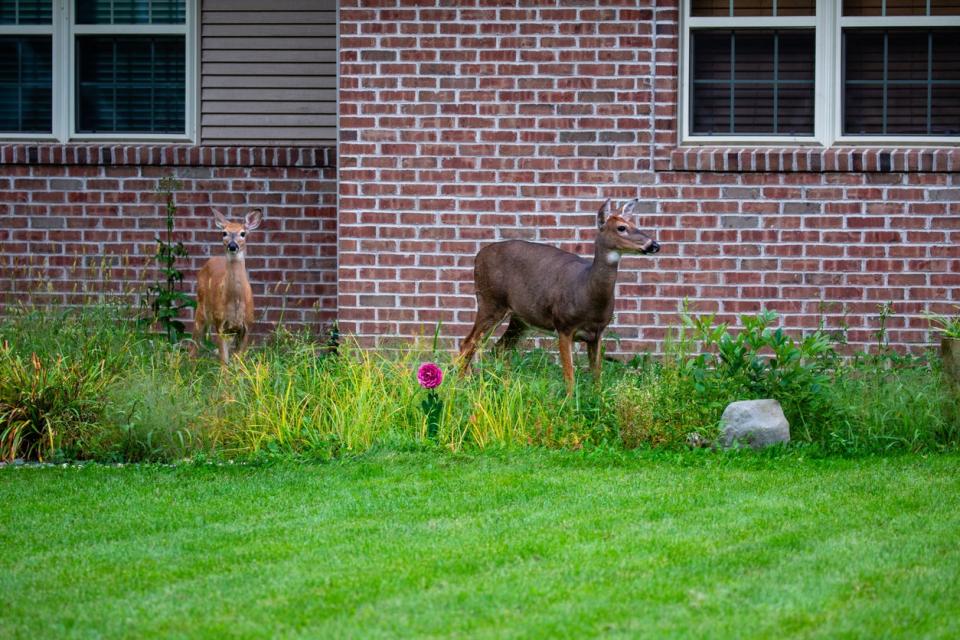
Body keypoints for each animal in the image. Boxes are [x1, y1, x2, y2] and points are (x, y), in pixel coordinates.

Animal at [191, 208, 262, 362]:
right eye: (224, 233)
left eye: (243, 233)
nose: (232, 246)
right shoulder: (220, 325)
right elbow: (224, 362)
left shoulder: (247, 326)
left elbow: (238, 362)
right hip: (201, 309)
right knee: (194, 345)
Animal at [458, 198, 660, 392]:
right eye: (621, 227)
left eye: (634, 223)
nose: (654, 245)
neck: (586, 290)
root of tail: (477, 257)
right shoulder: (564, 325)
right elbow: (569, 377)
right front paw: (570, 401)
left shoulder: (597, 332)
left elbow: (597, 376)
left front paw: (597, 399)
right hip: (490, 301)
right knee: (468, 343)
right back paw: (462, 385)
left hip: (520, 319)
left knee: (499, 349)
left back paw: (505, 387)